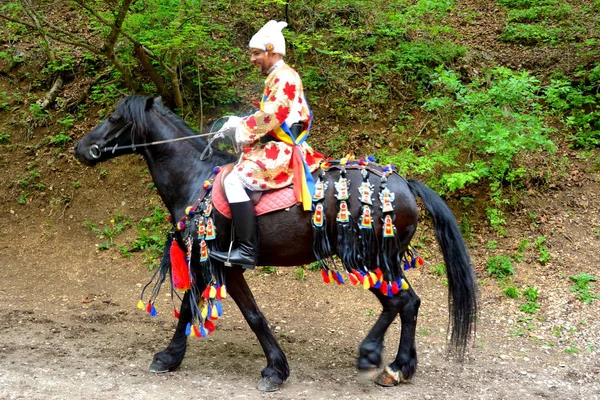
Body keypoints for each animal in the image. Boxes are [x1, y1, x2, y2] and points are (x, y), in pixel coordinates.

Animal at [75, 96, 478, 390]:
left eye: (114, 117)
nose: (81, 148)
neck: (195, 177)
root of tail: (404, 184)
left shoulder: (221, 264)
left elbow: (248, 315)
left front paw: (274, 371)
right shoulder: (208, 264)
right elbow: (195, 309)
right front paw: (171, 357)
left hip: (369, 260)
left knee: (398, 302)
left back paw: (372, 356)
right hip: (383, 263)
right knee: (409, 303)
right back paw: (399, 367)